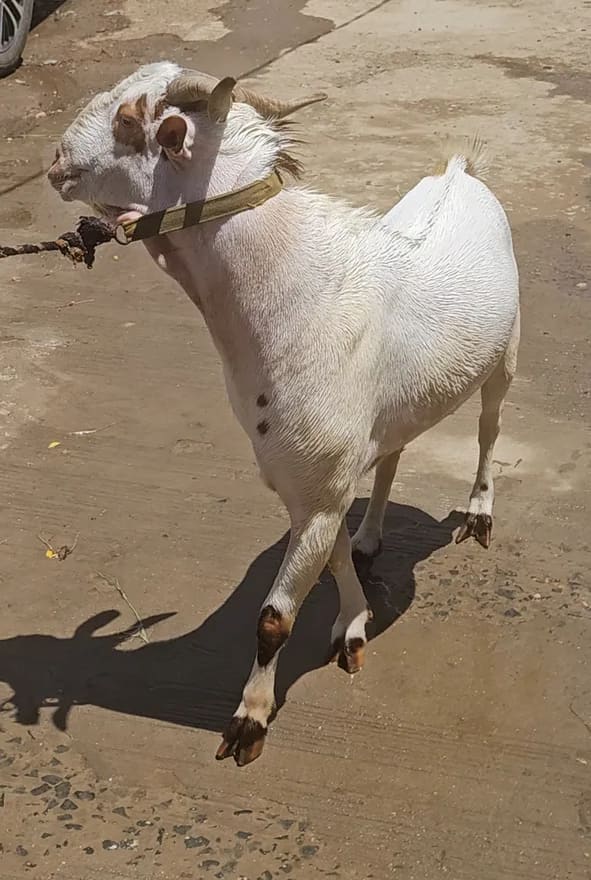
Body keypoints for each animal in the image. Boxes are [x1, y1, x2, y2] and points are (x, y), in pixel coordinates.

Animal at [48, 62, 520, 766]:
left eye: (131, 121)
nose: (54, 163)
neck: (297, 292)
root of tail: (460, 171)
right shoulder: (310, 486)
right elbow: (333, 559)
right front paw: (354, 624)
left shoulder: (318, 486)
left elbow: (274, 617)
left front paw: (249, 721)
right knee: (394, 454)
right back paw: (374, 535)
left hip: (506, 354)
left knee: (490, 428)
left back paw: (480, 514)